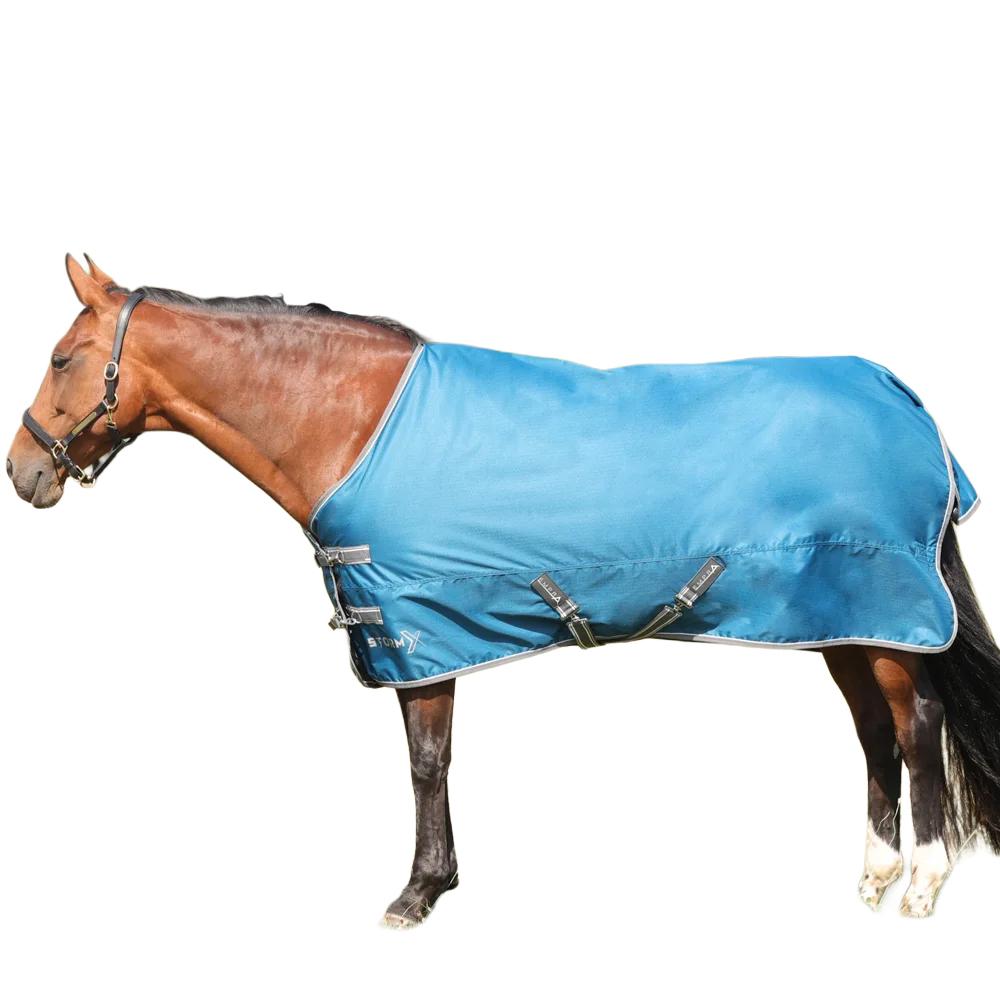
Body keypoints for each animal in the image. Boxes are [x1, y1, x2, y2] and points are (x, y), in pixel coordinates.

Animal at [8, 255, 1000, 926]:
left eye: (61, 358)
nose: (23, 471)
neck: (350, 420)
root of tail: (905, 397)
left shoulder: (417, 629)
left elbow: (425, 762)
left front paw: (417, 892)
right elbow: (434, 761)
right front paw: (436, 882)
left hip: (884, 612)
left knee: (917, 728)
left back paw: (923, 884)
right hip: (841, 621)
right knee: (873, 731)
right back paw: (874, 875)